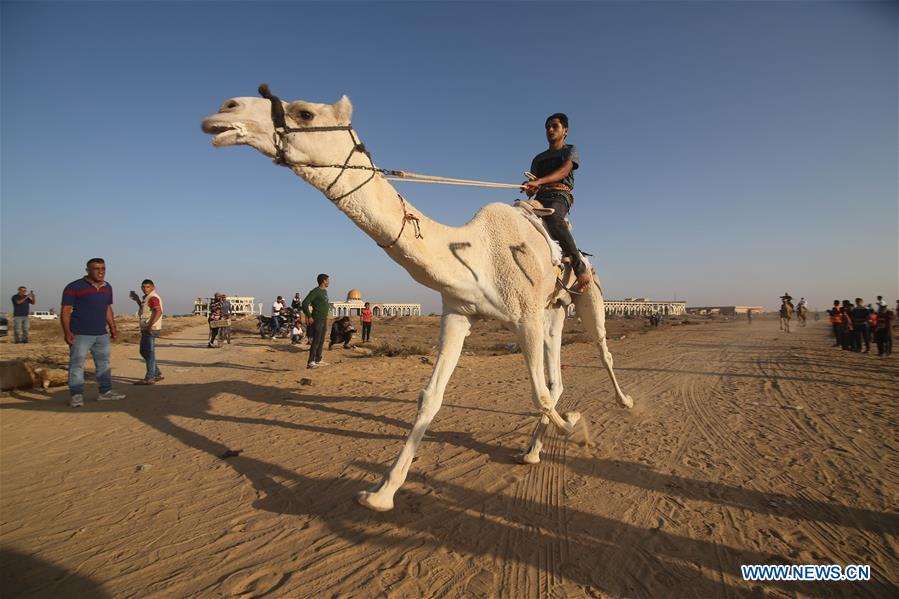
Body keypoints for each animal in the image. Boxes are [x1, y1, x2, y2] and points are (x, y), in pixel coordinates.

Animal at [200, 86, 636, 512]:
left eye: (305, 113)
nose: (225, 109)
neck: (475, 252)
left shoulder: (524, 315)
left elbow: (539, 393)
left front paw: (577, 429)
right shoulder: (459, 313)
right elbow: (432, 397)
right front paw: (381, 493)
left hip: (584, 297)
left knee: (600, 350)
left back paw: (625, 401)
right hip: (552, 312)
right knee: (556, 375)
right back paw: (531, 451)